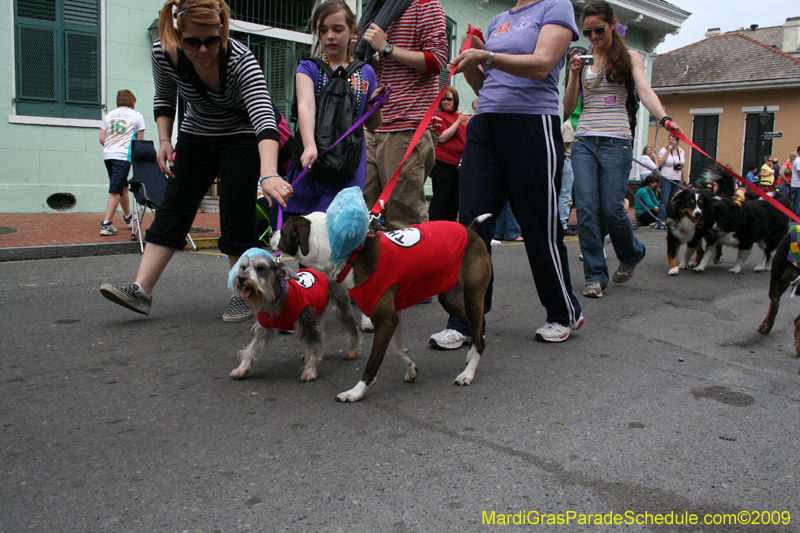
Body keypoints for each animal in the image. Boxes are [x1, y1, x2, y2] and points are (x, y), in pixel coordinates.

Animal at [228, 254, 360, 382]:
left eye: (260, 268)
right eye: (243, 267)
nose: (241, 278)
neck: (278, 300)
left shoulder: (307, 323)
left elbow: (312, 347)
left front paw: (310, 371)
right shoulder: (263, 329)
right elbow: (250, 349)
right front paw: (241, 369)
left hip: (342, 308)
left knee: (352, 329)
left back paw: (353, 351)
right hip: (317, 311)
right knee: (321, 334)